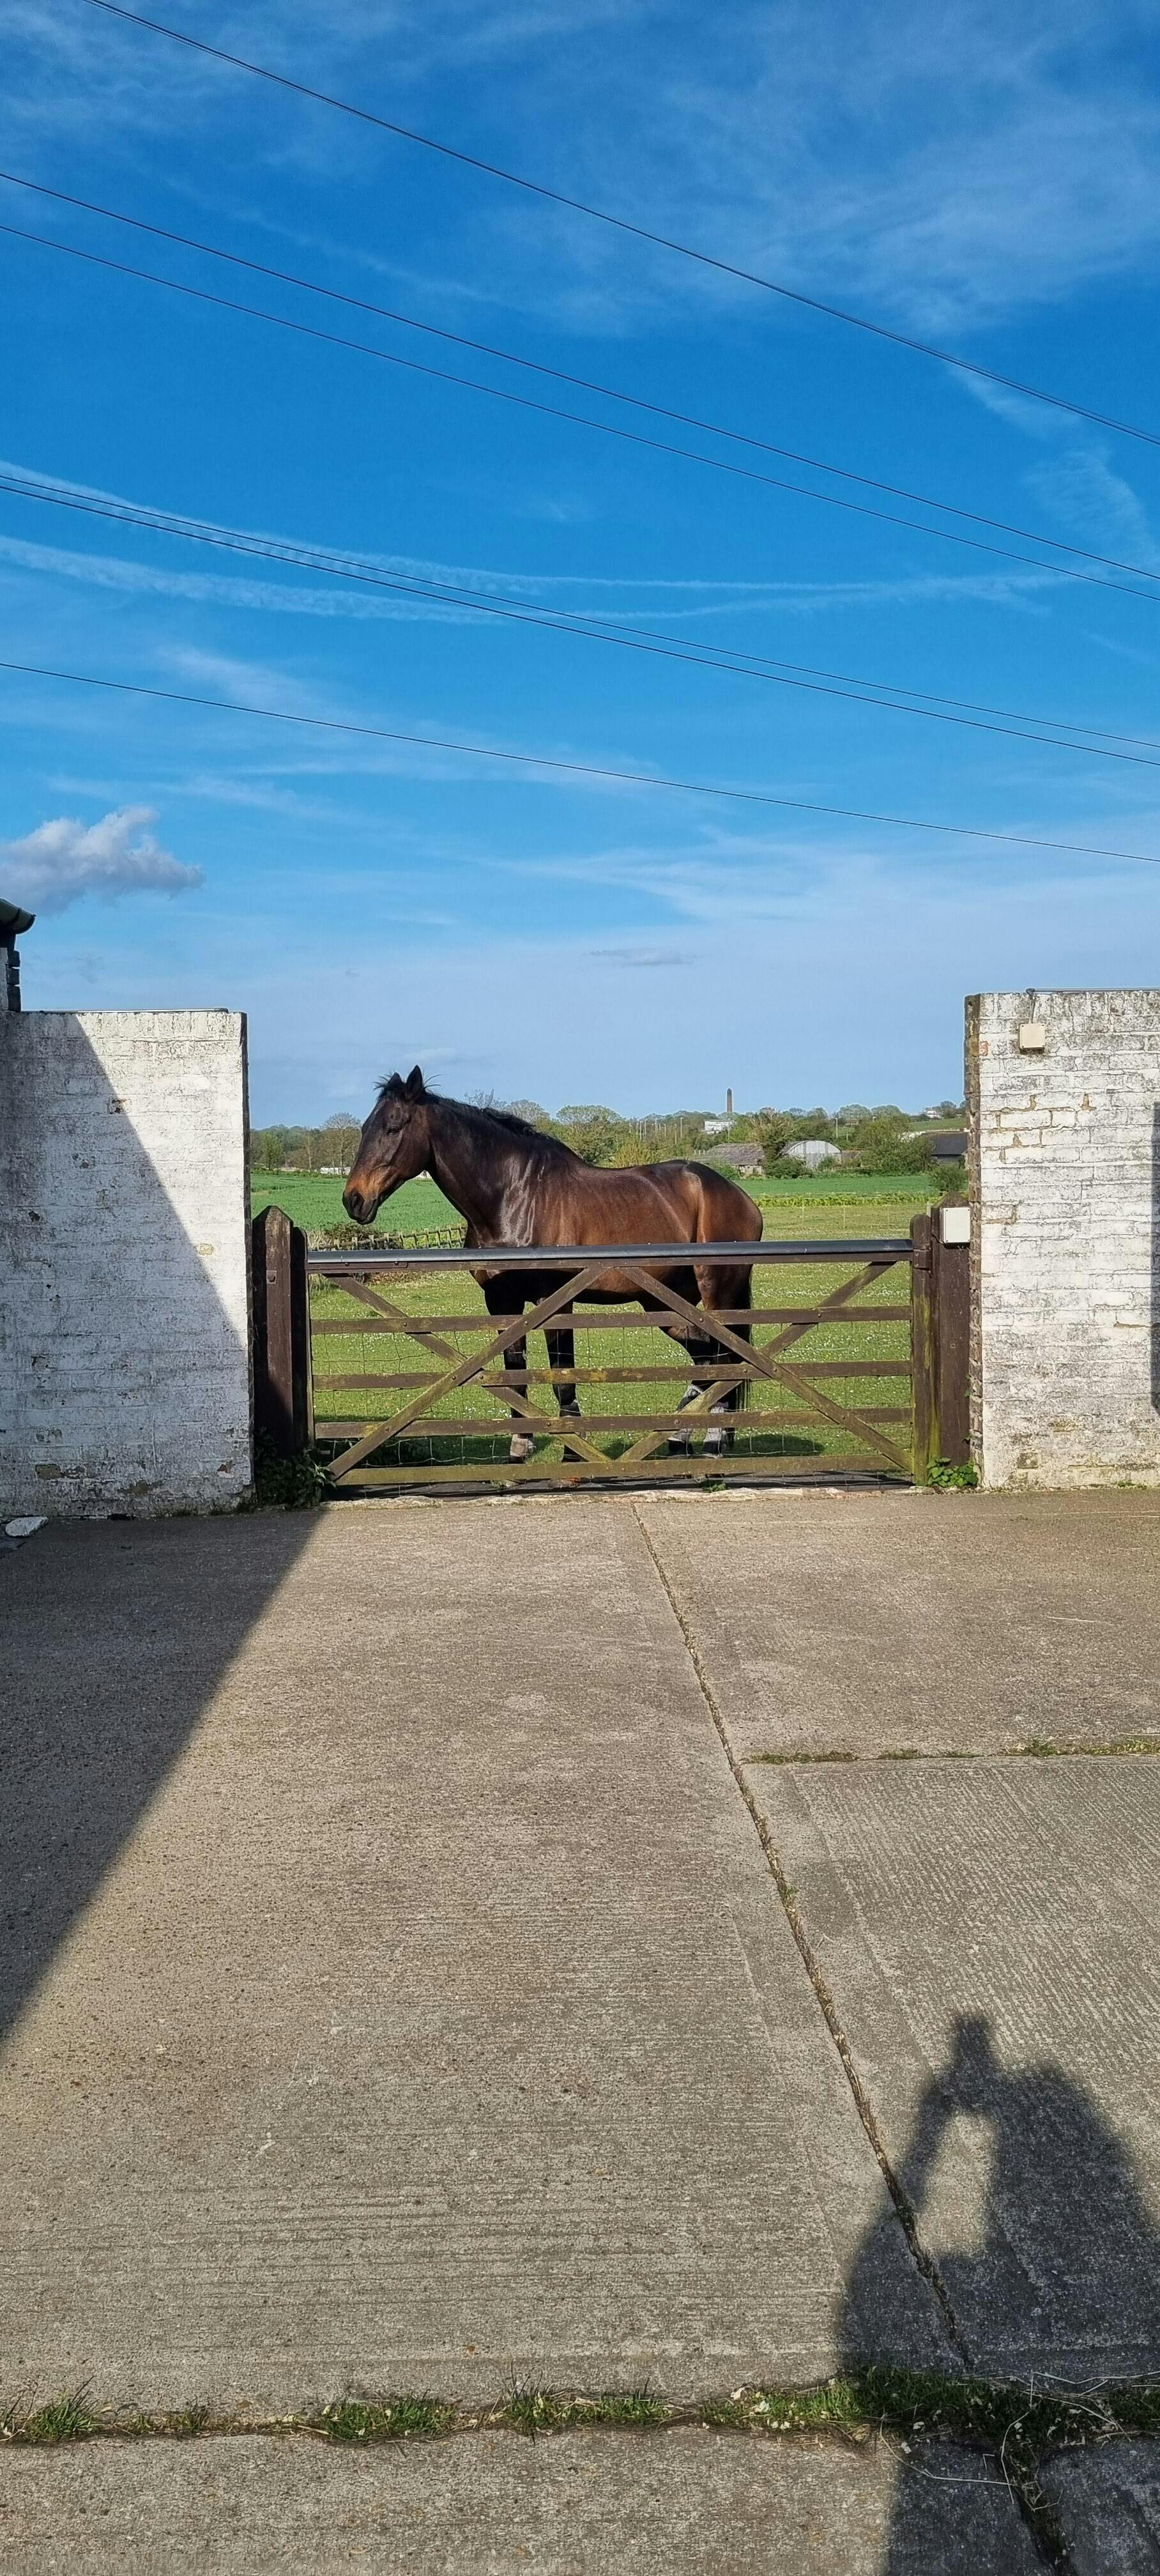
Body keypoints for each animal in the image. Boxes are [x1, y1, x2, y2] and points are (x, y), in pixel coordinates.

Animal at [342, 1068, 762, 1462]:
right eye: (365, 1128)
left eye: (393, 1127)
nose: (354, 1200)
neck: (515, 1198)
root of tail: (737, 1196)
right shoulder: (502, 1303)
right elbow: (515, 1373)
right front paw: (520, 1446)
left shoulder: (555, 1304)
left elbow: (562, 1376)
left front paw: (572, 1450)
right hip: (666, 1303)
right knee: (706, 1360)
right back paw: (680, 1437)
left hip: (717, 1295)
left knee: (727, 1360)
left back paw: (714, 1442)